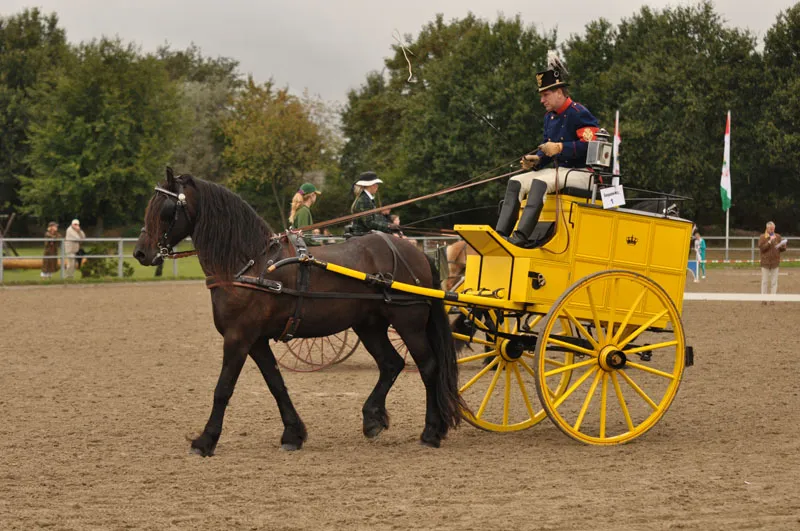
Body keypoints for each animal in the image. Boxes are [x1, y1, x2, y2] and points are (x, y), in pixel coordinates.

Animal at [134, 171, 466, 458]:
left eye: (166, 210)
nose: (140, 252)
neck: (250, 264)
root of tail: (415, 252)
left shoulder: (238, 337)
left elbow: (223, 388)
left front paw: (205, 440)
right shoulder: (256, 340)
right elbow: (276, 383)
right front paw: (293, 433)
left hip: (409, 324)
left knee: (428, 367)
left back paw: (431, 432)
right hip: (369, 325)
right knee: (391, 364)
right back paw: (373, 419)